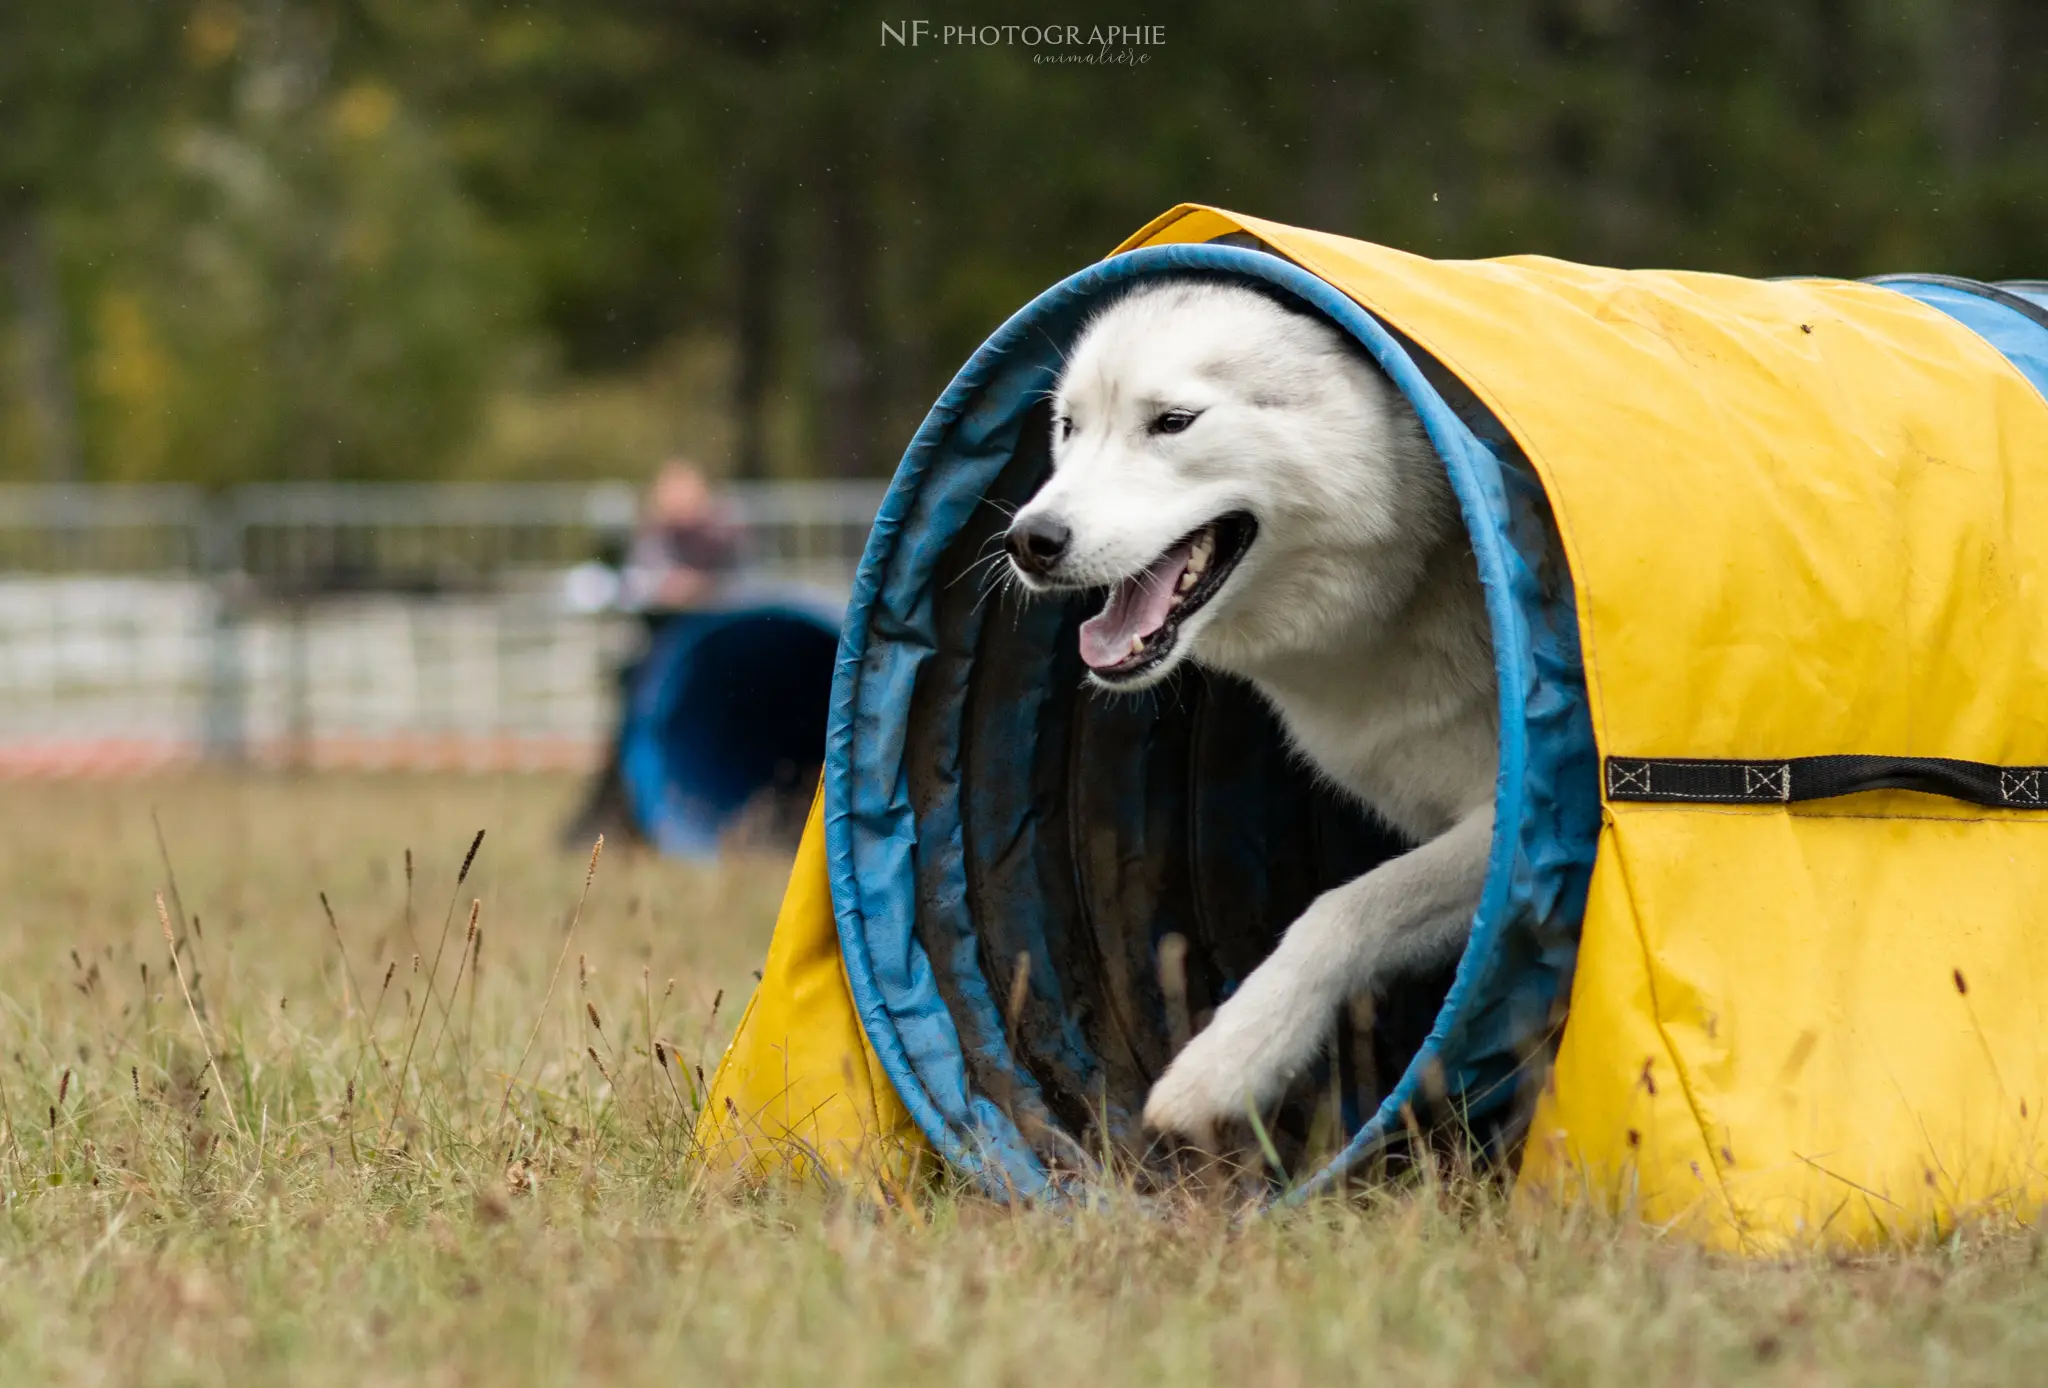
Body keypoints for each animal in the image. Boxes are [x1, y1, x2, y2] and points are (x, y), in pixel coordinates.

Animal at [1003, 276, 1499, 1146]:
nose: (1030, 539)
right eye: (1069, 426)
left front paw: (1221, 1067)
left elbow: (1342, 909)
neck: (1404, 596)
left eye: (1172, 422)